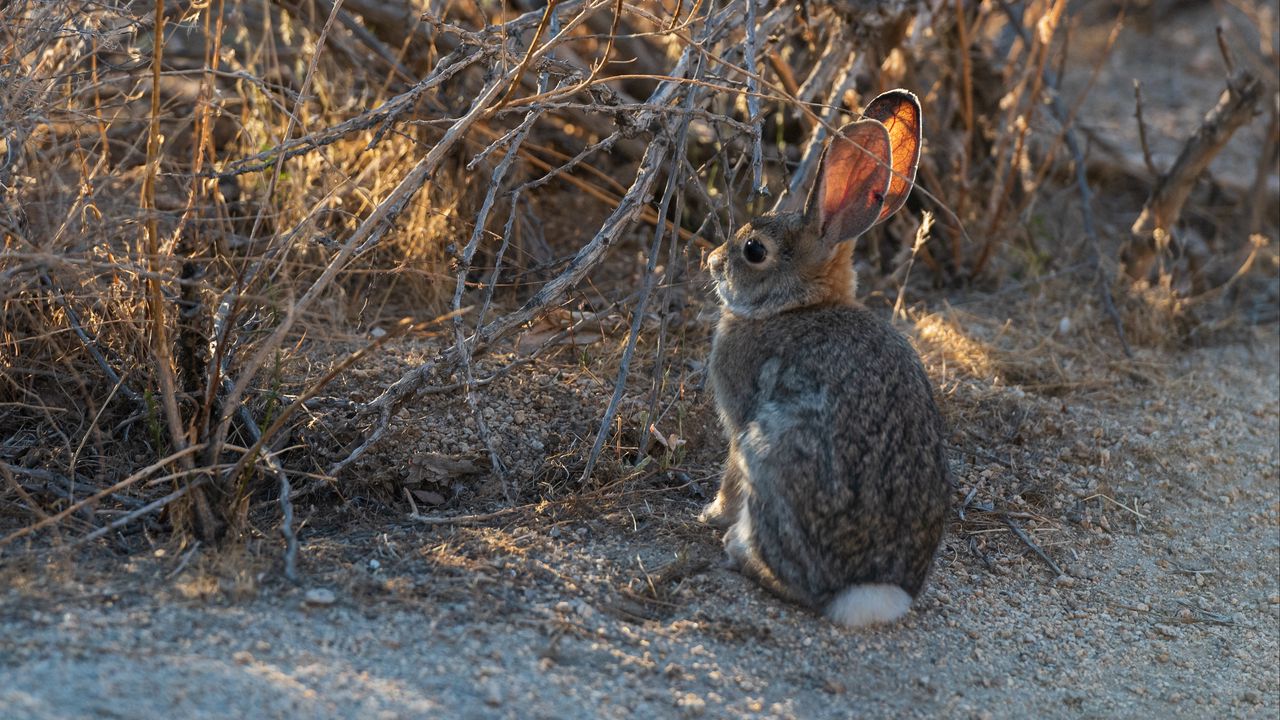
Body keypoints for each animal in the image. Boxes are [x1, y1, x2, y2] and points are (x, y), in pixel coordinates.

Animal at [701, 89, 952, 625]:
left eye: (754, 250)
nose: (711, 261)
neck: (797, 306)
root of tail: (869, 590)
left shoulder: (739, 420)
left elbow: (729, 473)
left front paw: (710, 513)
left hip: (769, 452)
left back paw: (737, 549)